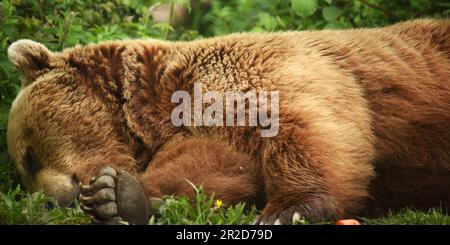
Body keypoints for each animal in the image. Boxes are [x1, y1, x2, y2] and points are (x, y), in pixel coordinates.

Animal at [7, 19, 450, 225]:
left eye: (28, 156)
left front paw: (286, 209)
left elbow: (306, 124)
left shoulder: (262, 73)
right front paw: (116, 195)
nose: (52, 200)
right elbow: (214, 170)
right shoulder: (199, 131)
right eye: (25, 171)